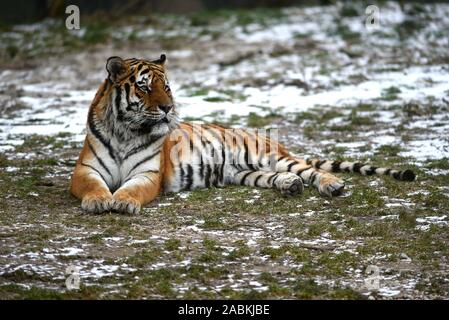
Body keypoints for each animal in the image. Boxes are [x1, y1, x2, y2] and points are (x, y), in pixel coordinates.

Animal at [70, 55, 416, 215]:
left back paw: (332, 185)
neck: (126, 132)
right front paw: (99, 201)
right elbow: (94, 186)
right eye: (143, 87)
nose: (168, 108)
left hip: (267, 156)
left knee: (311, 169)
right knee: (281, 177)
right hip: (246, 172)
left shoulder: (148, 175)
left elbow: (132, 189)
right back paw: (290, 186)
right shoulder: (85, 170)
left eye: (166, 87)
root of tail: (273, 140)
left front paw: (123, 202)